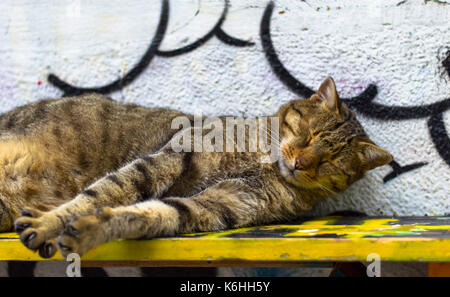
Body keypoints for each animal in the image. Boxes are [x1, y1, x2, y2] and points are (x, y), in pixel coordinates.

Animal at [3, 76, 392, 256]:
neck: (264, 164)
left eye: (330, 161)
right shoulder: (173, 155)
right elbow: (105, 191)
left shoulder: (220, 206)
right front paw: (49, 222)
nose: (300, 162)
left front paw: (92, 228)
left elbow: (150, 213)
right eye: (309, 135)